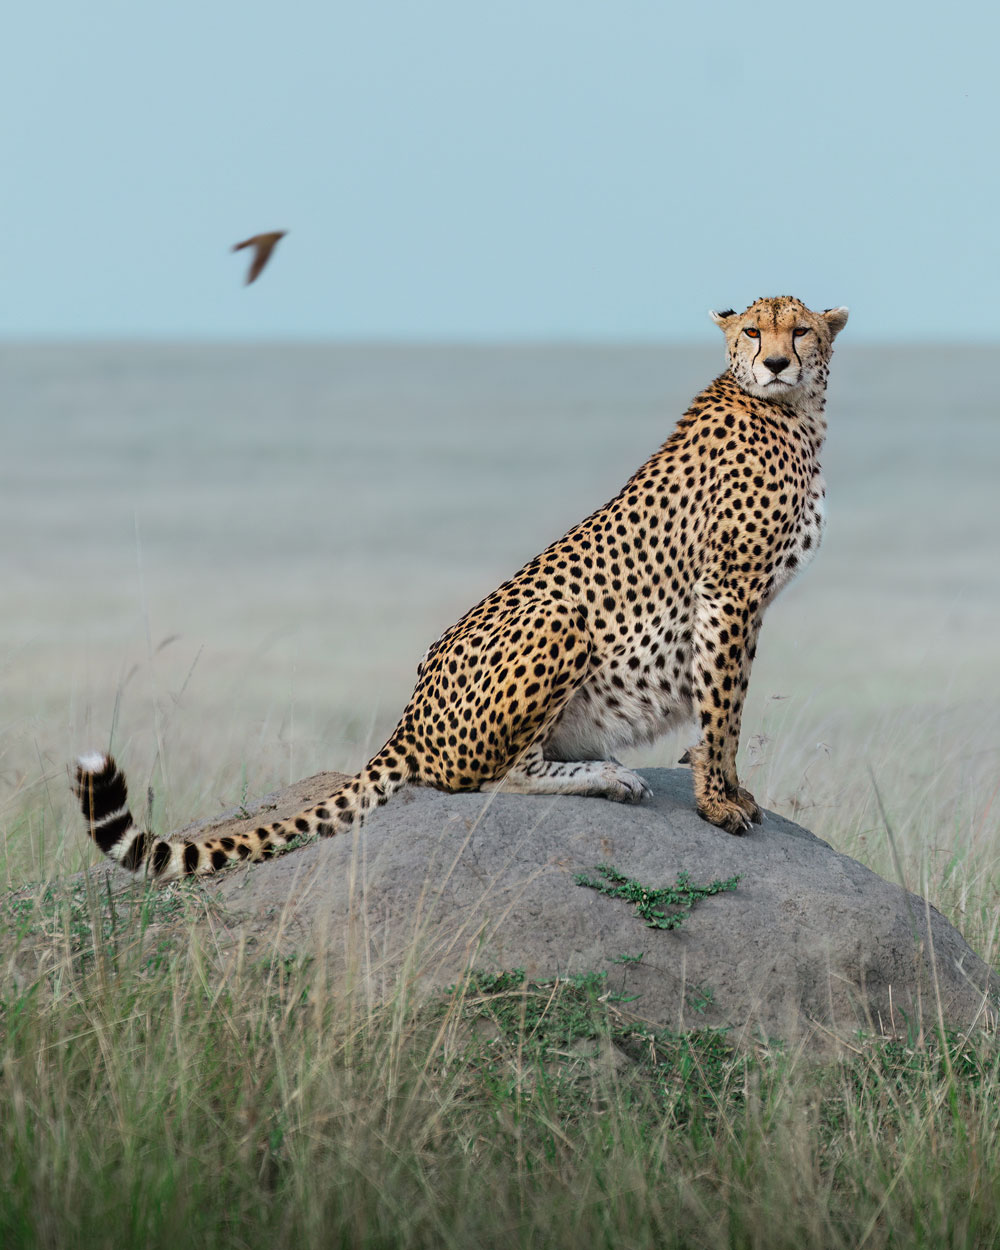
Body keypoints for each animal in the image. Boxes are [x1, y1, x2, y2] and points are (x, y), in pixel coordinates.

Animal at [74, 297, 850, 880]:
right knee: (487, 777)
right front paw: (719, 801)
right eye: (753, 331)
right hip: (558, 618)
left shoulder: (740, 599)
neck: (793, 411)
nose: (776, 362)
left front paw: (723, 786)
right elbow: (724, 706)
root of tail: (409, 714)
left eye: (799, 330)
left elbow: (727, 701)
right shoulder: (728, 591)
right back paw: (607, 776)